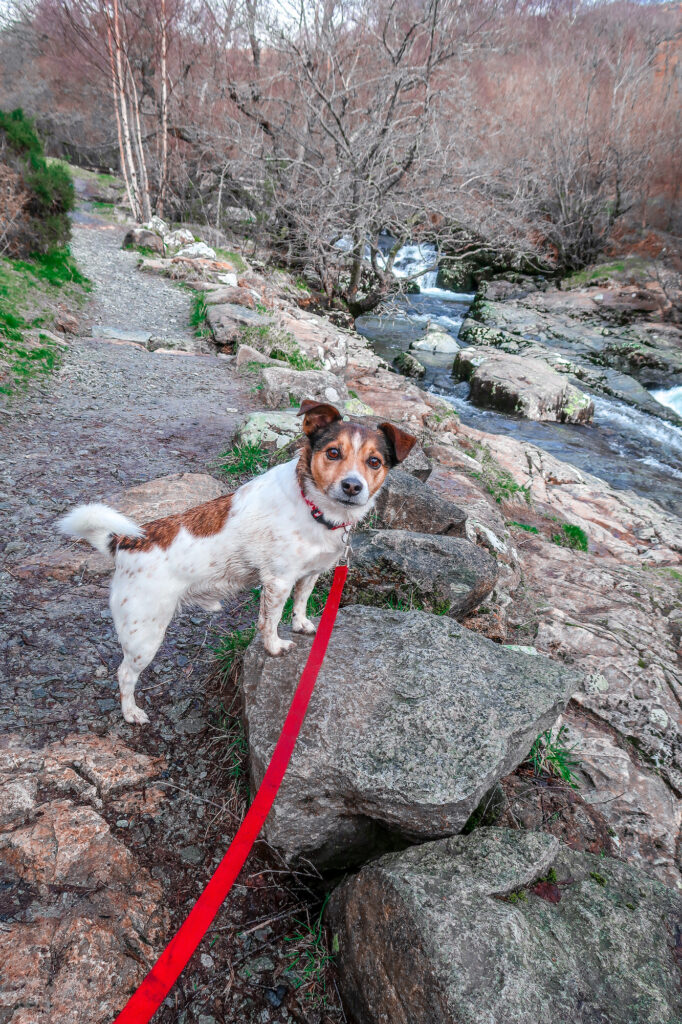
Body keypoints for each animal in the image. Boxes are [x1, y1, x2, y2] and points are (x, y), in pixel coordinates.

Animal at [58, 395, 417, 724]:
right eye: (332, 453)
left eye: (374, 462)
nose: (352, 486)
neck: (314, 508)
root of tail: (124, 542)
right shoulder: (277, 582)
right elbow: (270, 621)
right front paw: (274, 647)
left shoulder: (309, 573)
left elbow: (301, 601)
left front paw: (301, 624)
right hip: (144, 633)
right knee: (124, 674)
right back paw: (131, 712)